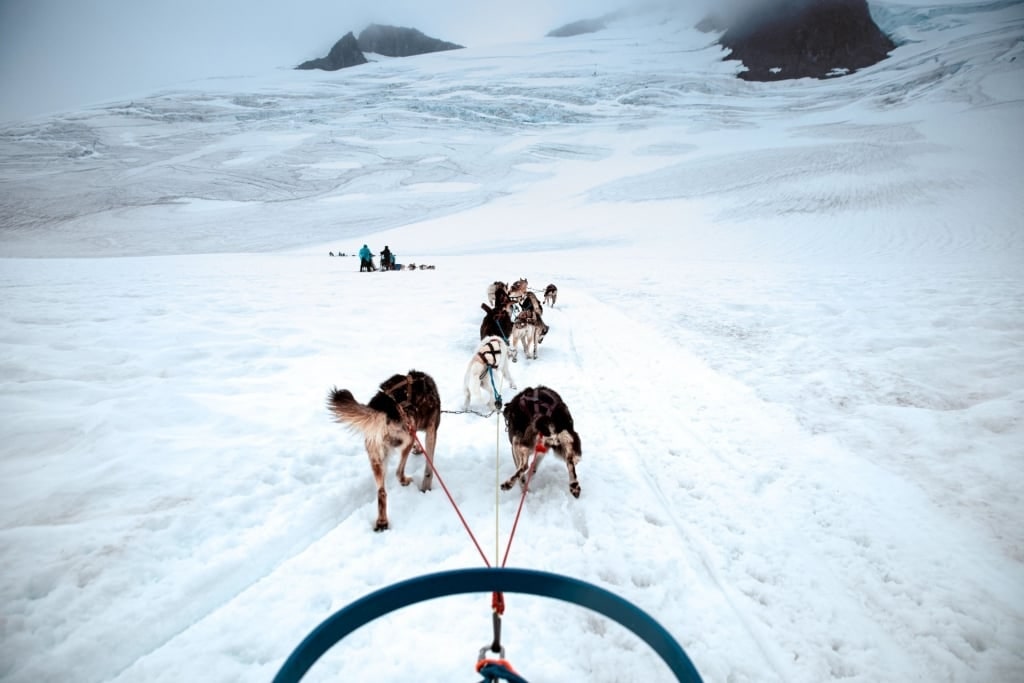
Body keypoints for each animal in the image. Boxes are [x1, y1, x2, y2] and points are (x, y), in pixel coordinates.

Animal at [327, 370, 440, 532]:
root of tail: (383, 409)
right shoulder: (431, 431)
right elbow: (428, 469)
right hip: (407, 439)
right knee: (398, 472)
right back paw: (404, 481)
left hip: (376, 457)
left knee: (381, 492)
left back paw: (382, 522)